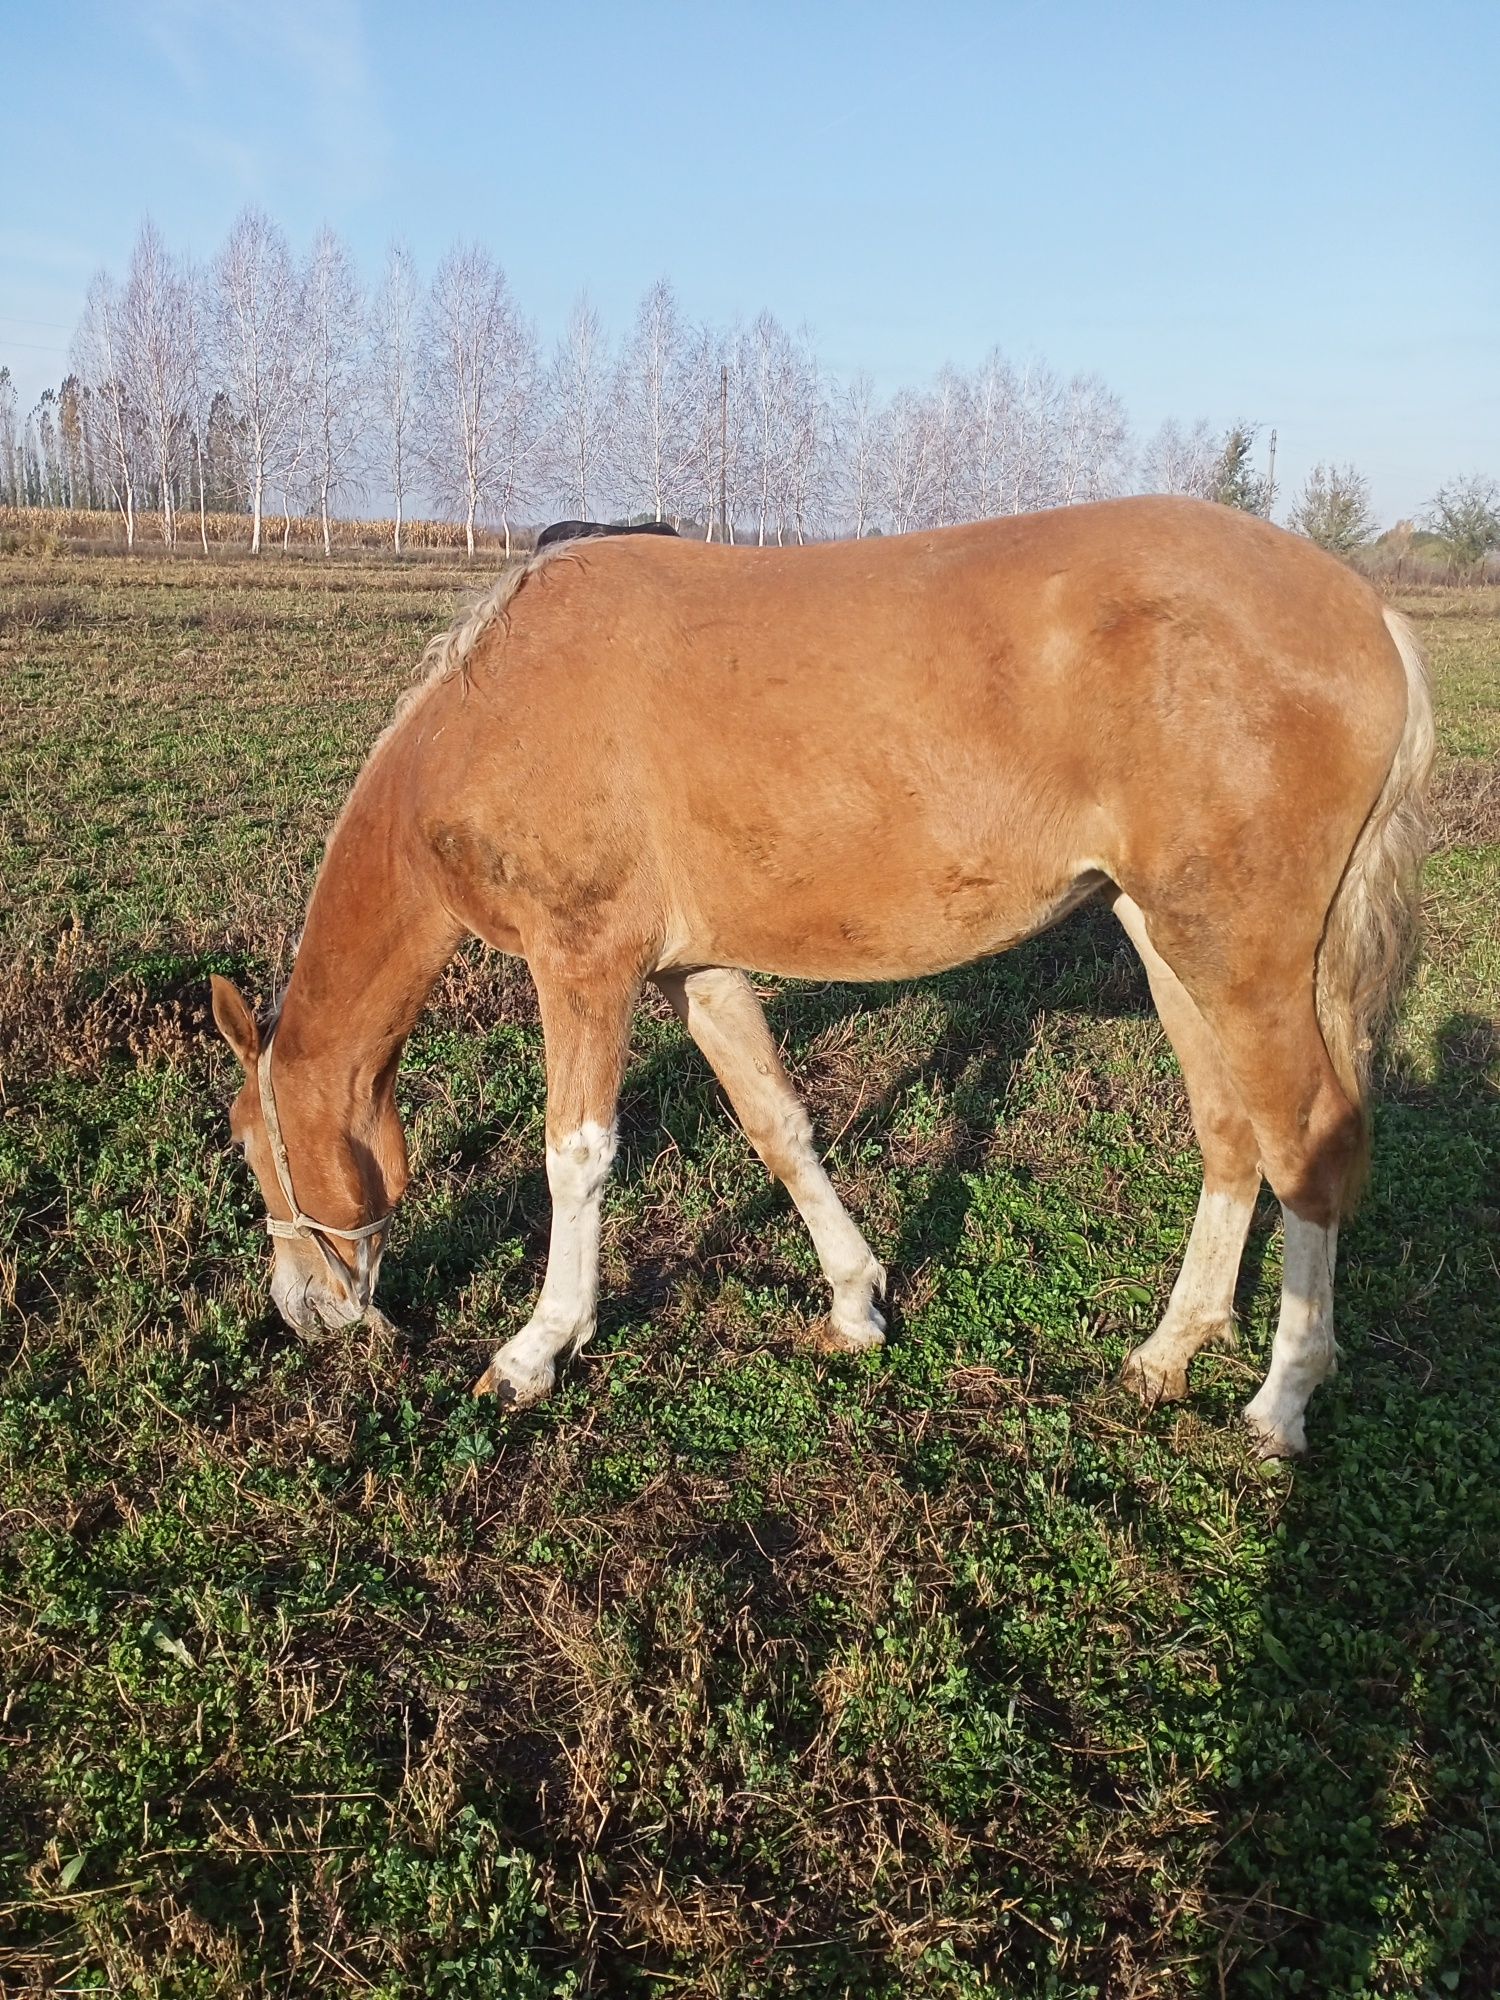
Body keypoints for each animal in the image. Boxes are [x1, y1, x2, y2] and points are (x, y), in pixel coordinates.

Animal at [212, 500, 1432, 1464]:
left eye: (257, 1149)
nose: (301, 1313)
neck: (500, 700)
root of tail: (1367, 612)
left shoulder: (584, 964)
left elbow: (578, 1160)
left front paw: (537, 1349)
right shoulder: (692, 968)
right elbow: (778, 1125)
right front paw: (855, 1305)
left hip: (1243, 957)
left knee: (1307, 1143)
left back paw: (1282, 1399)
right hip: (1167, 937)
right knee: (1230, 1135)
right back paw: (1168, 1350)